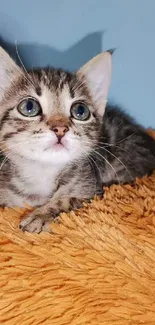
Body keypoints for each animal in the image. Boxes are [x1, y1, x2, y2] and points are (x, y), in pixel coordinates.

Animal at [0, 46, 155, 232]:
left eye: (80, 111)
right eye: (29, 107)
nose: (60, 129)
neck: (42, 173)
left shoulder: (93, 191)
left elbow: (69, 200)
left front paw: (40, 215)